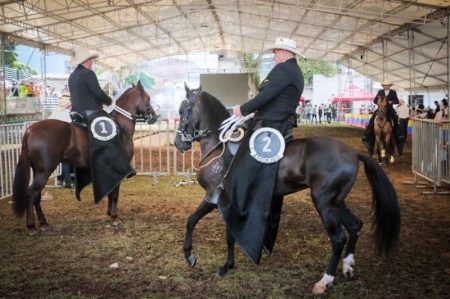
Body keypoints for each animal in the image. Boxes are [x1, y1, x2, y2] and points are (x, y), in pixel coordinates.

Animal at [12, 81, 156, 234]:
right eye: (148, 98)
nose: (154, 116)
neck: (121, 127)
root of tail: (30, 130)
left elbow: (110, 192)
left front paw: (110, 214)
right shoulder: (118, 169)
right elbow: (115, 193)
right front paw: (115, 217)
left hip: (38, 171)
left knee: (37, 195)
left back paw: (44, 223)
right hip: (45, 171)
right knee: (31, 193)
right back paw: (31, 226)